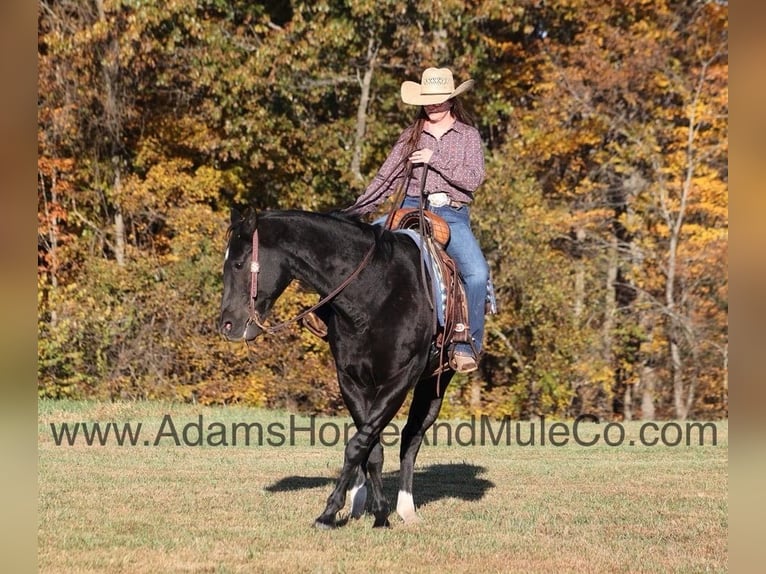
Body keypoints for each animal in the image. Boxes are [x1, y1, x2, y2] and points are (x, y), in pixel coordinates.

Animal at [218, 208, 456, 532]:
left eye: (239, 263)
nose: (226, 324)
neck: (375, 293)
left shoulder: (399, 379)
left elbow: (358, 446)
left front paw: (329, 512)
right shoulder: (351, 381)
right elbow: (371, 449)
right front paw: (378, 513)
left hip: (435, 383)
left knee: (412, 438)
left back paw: (407, 509)